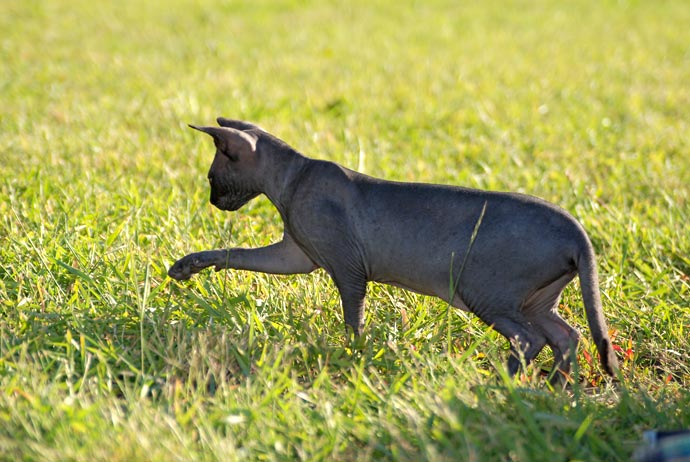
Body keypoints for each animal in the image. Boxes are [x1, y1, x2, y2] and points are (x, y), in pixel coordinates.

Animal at [168, 118, 620, 378]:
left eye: (212, 178)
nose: (213, 202)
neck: (291, 178)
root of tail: (576, 231)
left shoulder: (348, 270)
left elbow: (353, 320)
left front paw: (353, 356)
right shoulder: (295, 256)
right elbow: (235, 253)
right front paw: (189, 266)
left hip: (484, 291)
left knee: (530, 341)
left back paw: (504, 380)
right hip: (536, 300)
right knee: (567, 336)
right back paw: (560, 388)